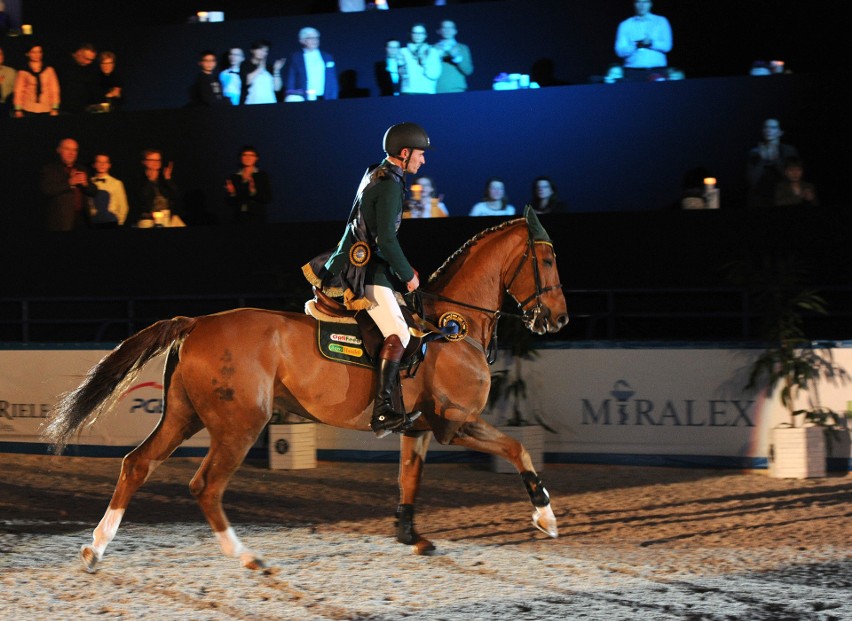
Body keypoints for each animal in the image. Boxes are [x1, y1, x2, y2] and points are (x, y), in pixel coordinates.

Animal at [45, 207, 564, 572]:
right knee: (205, 485)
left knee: (138, 464)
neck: (452, 327)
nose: (557, 319)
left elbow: (410, 479)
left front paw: (410, 535)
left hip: (183, 415)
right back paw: (247, 557)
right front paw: (545, 516)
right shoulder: (454, 424)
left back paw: (95, 550)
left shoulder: (417, 429)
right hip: (239, 425)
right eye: (547, 258)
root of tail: (197, 323)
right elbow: (517, 448)